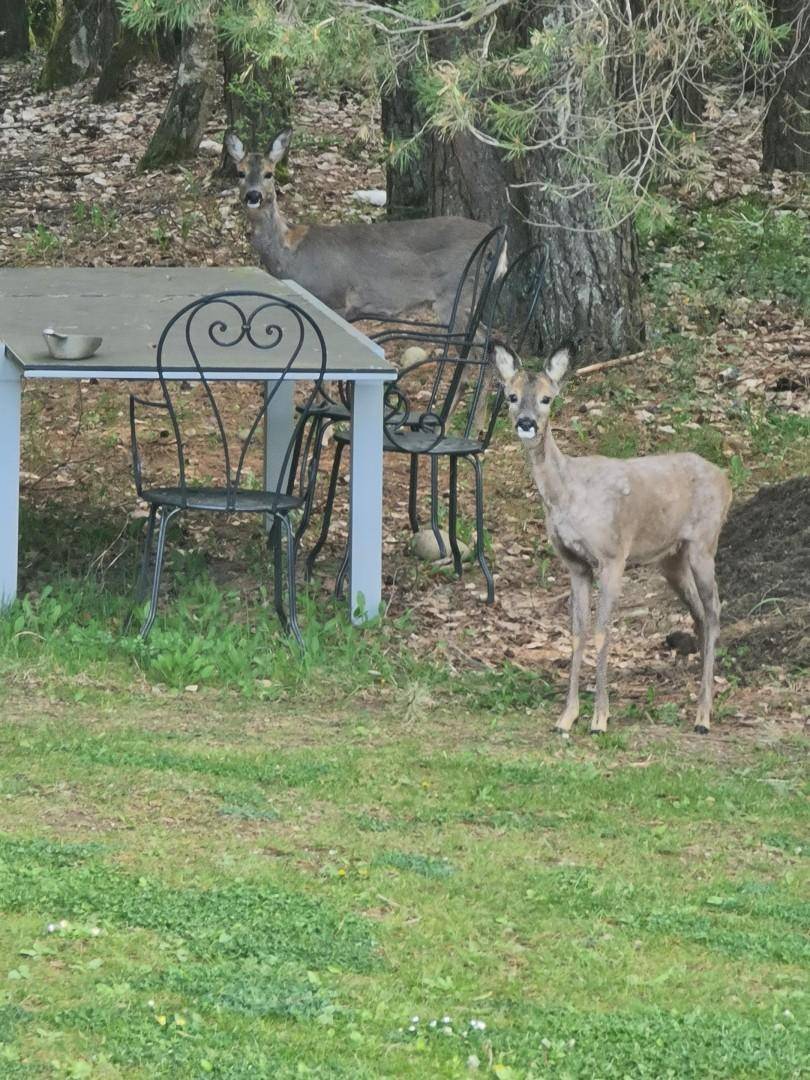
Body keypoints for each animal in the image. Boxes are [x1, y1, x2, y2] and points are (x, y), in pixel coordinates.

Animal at [225, 129, 505, 319]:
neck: (290, 251)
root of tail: (500, 244)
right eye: (240, 173)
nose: (253, 196)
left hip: (456, 295)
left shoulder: (334, 299)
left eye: (269, 173)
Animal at [494, 343, 734, 734]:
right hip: (671, 558)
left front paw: (599, 719)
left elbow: (602, 631)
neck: (568, 494)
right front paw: (566, 717)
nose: (526, 423)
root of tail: (726, 479)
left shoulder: (612, 556)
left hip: (704, 542)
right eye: (511, 396)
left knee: (714, 612)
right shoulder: (575, 564)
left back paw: (703, 716)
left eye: (547, 398)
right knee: (699, 614)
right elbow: (576, 632)